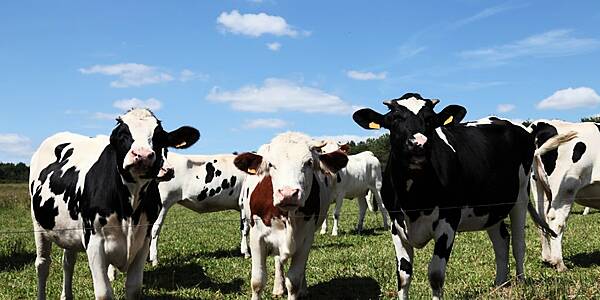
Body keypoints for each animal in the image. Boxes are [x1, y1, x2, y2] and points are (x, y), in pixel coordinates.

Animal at [29, 108, 199, 300]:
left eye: (159, 137)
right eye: (121, 135)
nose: (142, 155)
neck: (130, 206)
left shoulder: (143, 240)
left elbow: (133, 287)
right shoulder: (94, 241)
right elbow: (104, 293)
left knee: (68, 262)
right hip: (38, 225)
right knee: (42, 264)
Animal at [233, 133, 346, 300]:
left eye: (309, 162)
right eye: (271, 164)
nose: (288, 193)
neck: (287, 216)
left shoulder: (306, 239)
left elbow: (294, 281)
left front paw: (298, 288)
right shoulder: (257, 237)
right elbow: (258, 281)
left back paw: (303, 289)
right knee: (278, 260)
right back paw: (278, 288)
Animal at [354, 92, 556, 298]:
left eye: (431, 119)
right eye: (394, 119)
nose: (419, 143)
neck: (413, 203)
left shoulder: (448, 220)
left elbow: (435, 274)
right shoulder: (396, 225)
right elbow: (403, 275)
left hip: (520, 196)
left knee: (518, 242)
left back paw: (520, 281)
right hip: (491, 208)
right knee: (501, 240)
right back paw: (499, 283)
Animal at [528, 119, 600, 272]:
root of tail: (541, 123)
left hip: (538, 185)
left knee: (541, 220)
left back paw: (547, 258)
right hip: (566, 188)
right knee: (556, 220)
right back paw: (559, 263)